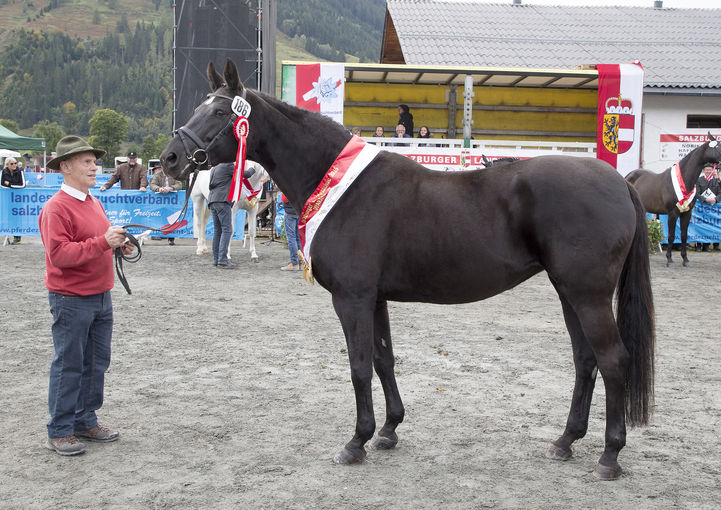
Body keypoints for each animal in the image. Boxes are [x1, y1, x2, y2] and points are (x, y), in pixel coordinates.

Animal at [160, 60, 656, 482]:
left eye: (220, 111)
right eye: (200, 107)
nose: (169, 159)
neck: (342, 185)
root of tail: (619, 182)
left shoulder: (352, 298)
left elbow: (359, 365)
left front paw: (356, 442)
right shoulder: (374, 297)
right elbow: (383, 359)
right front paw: (388, 431)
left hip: (588, 294)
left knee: (613, 360)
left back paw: (610, 456)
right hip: (568, 291)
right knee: (586, 361)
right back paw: (565, 440)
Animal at [624, 133, 720, 268]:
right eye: (717, 147)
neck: (684, 179)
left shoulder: (687, 213)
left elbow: (684, 236)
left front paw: (685, 260)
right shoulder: (672, 213)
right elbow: (671, 236)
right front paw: (669, 260)